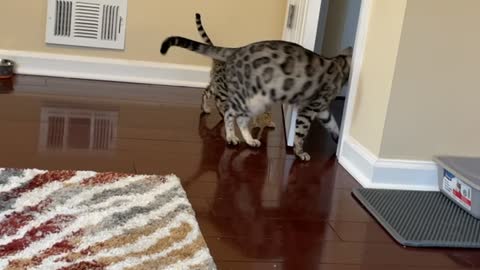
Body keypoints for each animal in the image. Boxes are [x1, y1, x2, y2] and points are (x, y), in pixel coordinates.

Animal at [161, 34, 352, 159]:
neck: (339, 63)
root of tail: (236, 49)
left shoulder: (323, 109)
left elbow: (333, 125)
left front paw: (337, 139)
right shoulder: (310, 108)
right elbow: (301, 133)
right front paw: (300, 152)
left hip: (255, 101)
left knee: (239, 118)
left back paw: (250, 140)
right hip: (248, 97)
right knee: (230, 114)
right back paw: (231, 137)